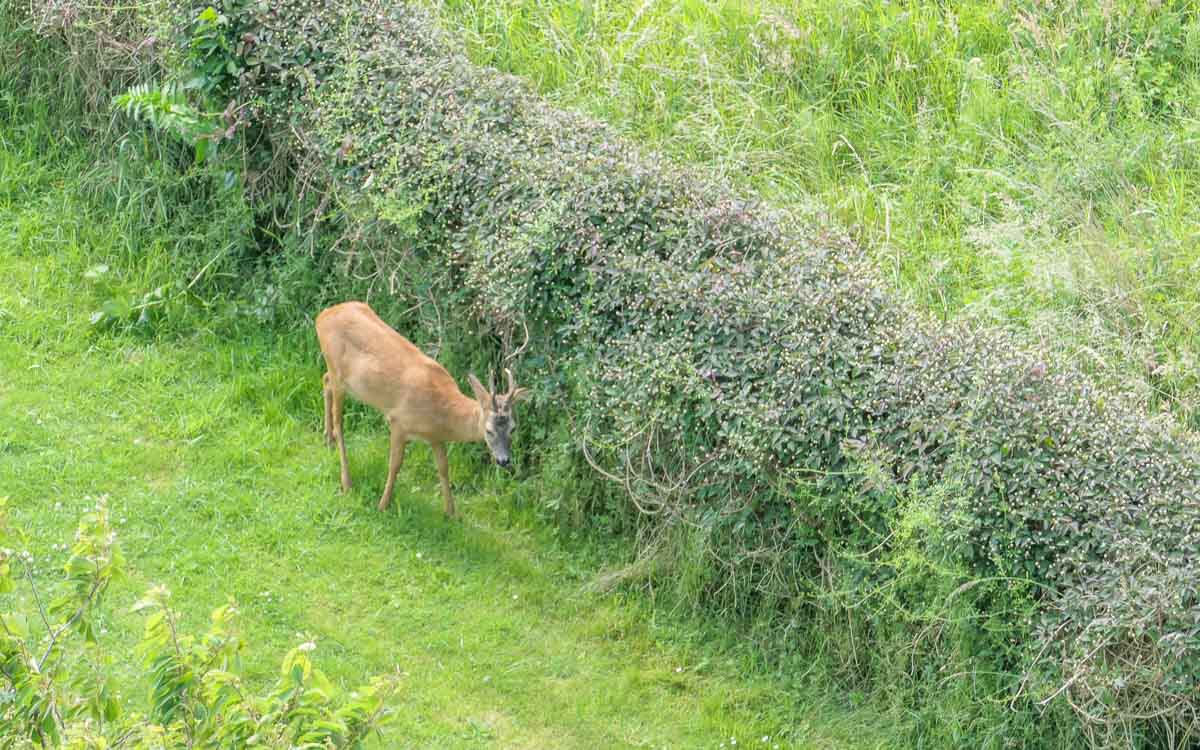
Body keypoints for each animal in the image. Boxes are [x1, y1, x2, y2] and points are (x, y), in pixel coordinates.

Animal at [315, 301, 529, 518]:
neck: (442, 412)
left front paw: (451, 513)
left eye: (513, 428)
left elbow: (443, 468)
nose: (504, 460)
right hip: (338, 374)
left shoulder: (436, 437)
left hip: (336, 374)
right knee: (339, 423)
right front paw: (383, 505)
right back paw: (346, 481)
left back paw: (327, 440)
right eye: (489, 430)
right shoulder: (398, 422)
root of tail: (322, 316)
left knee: (325, 381)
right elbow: (395, 465)